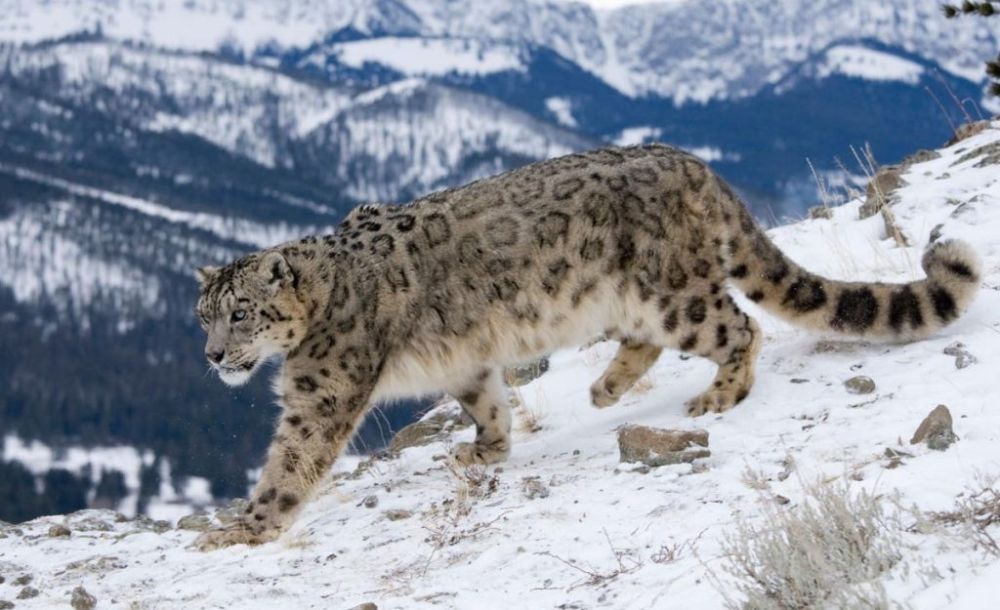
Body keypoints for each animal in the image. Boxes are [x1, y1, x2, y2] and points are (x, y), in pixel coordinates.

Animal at [193, 144, 980, 550]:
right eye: (202, 316)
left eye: (241, 314)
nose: (211, 357)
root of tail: (690, 161)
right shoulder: (466, 361)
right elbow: (486, 398)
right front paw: (483, 451)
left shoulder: (321, 389)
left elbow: (291, 458)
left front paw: (244, 528)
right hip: (636, 299)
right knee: (655, 339)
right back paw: (607, 387)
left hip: (671, 292)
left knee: (738, 326)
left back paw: (717, 393)